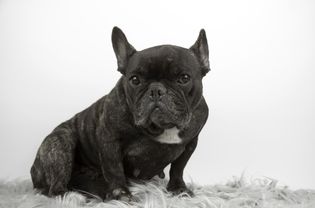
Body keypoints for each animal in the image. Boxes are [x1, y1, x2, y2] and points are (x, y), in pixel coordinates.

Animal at [30, 26, 211, 201]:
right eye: (135, 80)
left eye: (184, 78)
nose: (156, 90)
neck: (160, 127)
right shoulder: (109, 139)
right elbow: (114, 169)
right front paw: (121, 194)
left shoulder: (190, 143)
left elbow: (178, 168)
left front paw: (178, 189)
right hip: (61, 143)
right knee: (55, 186)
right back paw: (71, 196)